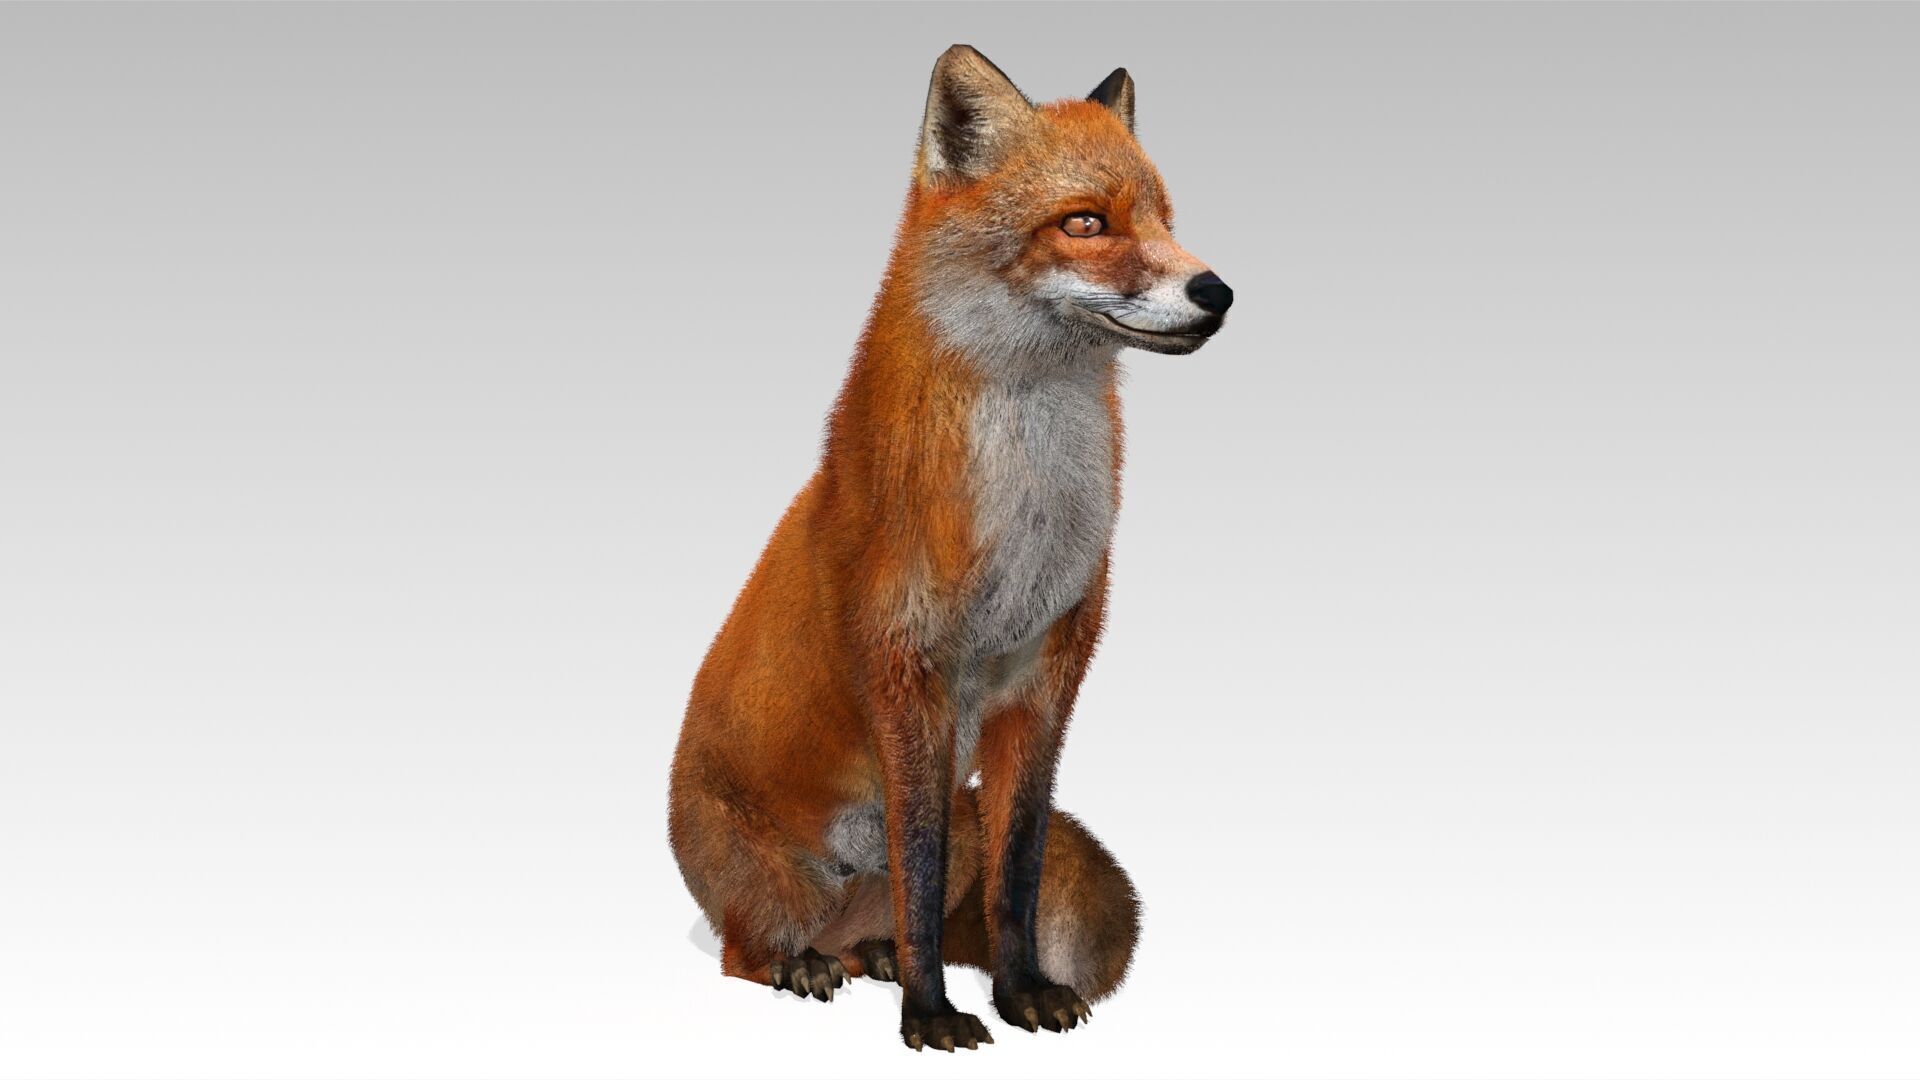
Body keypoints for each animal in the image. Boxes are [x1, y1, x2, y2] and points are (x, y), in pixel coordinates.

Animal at [668, 44, 1234, 1052]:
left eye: (1165, 220)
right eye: (1085, 222)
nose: (1217, 292)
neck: (1025, 534)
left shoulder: (1043, 688)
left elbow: (1015, 874)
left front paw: (1022, 992)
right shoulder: (909, 682)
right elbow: (923, 870)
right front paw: (930, 1013)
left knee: (885, 924)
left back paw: (873, 955)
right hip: (776, 885)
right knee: (748, 950)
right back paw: (802, 964)